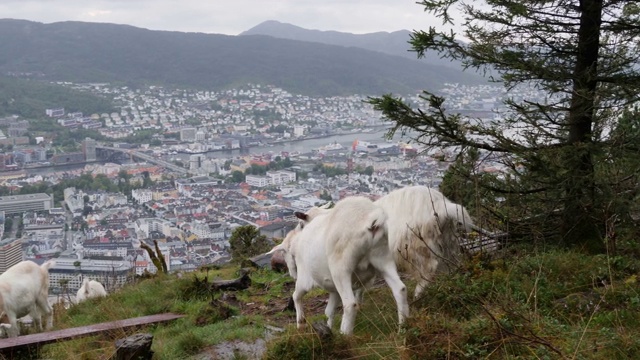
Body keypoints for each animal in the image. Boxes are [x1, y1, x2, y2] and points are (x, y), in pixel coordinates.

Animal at [268, 197, 408, 334]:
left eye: (301, 224)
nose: (292, 274)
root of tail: (373, 219)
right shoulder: (333, 288)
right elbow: (328, 311)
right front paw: (327, 328)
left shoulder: (305, 278)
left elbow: (296, 296)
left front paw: (300, 324)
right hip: (383, 258)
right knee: (400, 289)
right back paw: (403, 328)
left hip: (341, 268)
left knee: (350, 304)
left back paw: (345, 335)